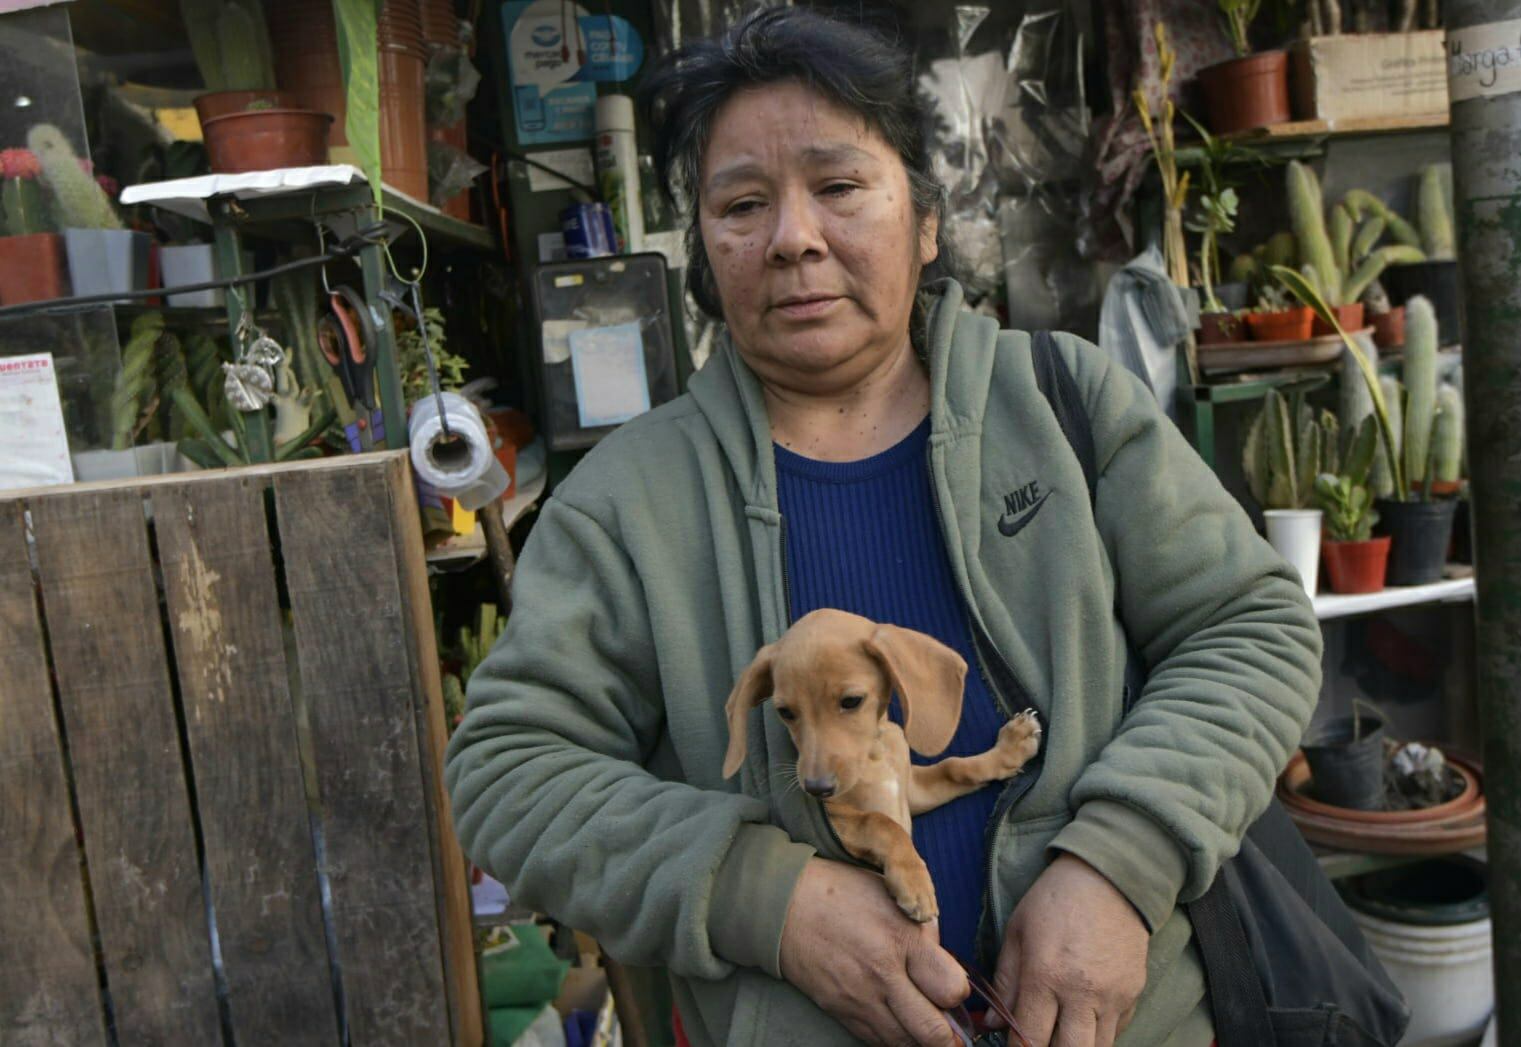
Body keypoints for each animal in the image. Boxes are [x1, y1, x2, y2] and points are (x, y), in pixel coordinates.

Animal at [723, 608, 1046, 919]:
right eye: (785, 712)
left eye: (852, 701)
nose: (816, 789)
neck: (874, 756)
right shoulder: (836, 820)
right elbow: (880, 822)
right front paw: (914, 880)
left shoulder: (912, 791)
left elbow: (953, 768)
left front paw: (1010, 749)